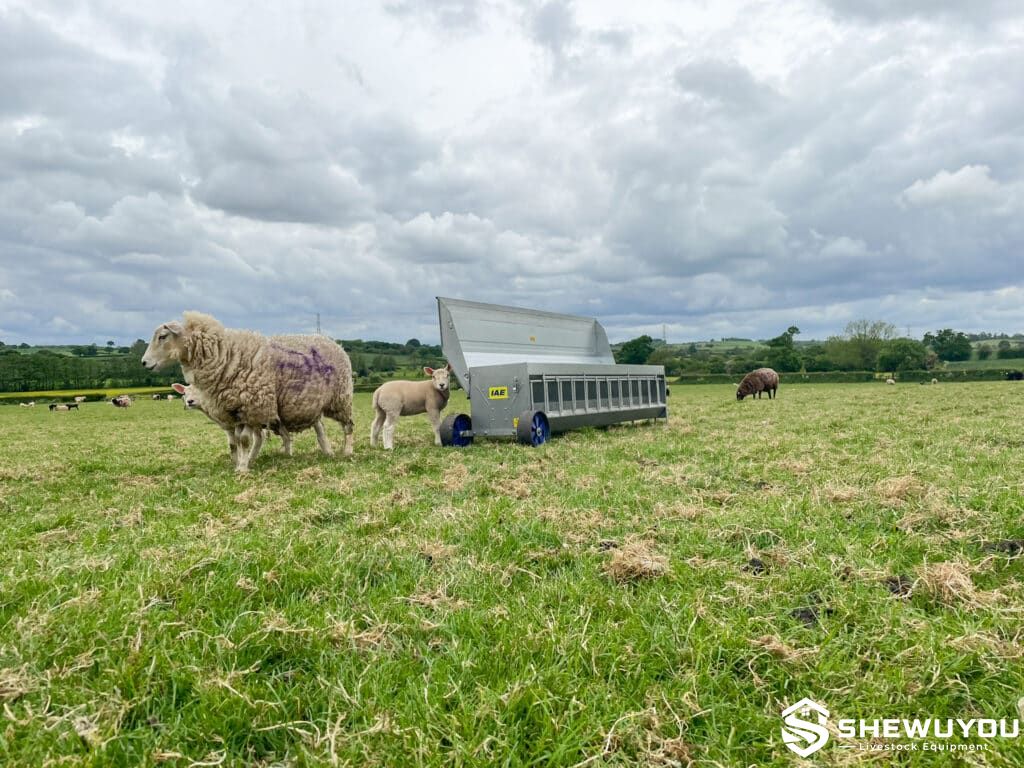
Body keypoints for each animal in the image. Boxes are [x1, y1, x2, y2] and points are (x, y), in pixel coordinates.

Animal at [143, 313, 354, 472]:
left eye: (163, 336)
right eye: (185, 393)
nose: (144, 363)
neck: (223, 355)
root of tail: (335, 344)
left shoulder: (251, 408)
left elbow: (244, 441)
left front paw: (243, 468)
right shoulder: (235, 412)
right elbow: (236, 442)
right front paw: (240, 464)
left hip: (340, 399)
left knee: (348, 426)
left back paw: (347, 452)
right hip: (312, 405)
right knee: (319, 431)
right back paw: (325, 452)